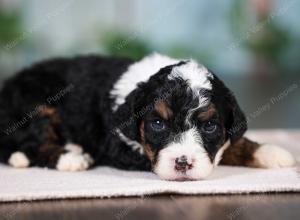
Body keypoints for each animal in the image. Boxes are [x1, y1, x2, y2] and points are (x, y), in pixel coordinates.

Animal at [0, 53, 296, 180]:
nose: (182, 163)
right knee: (33, 141)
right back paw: (72, 157)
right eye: (157, 123)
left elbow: (233, 143)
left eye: (210, 126)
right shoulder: (115, 145)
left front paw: (272, 152)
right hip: (35, 102)